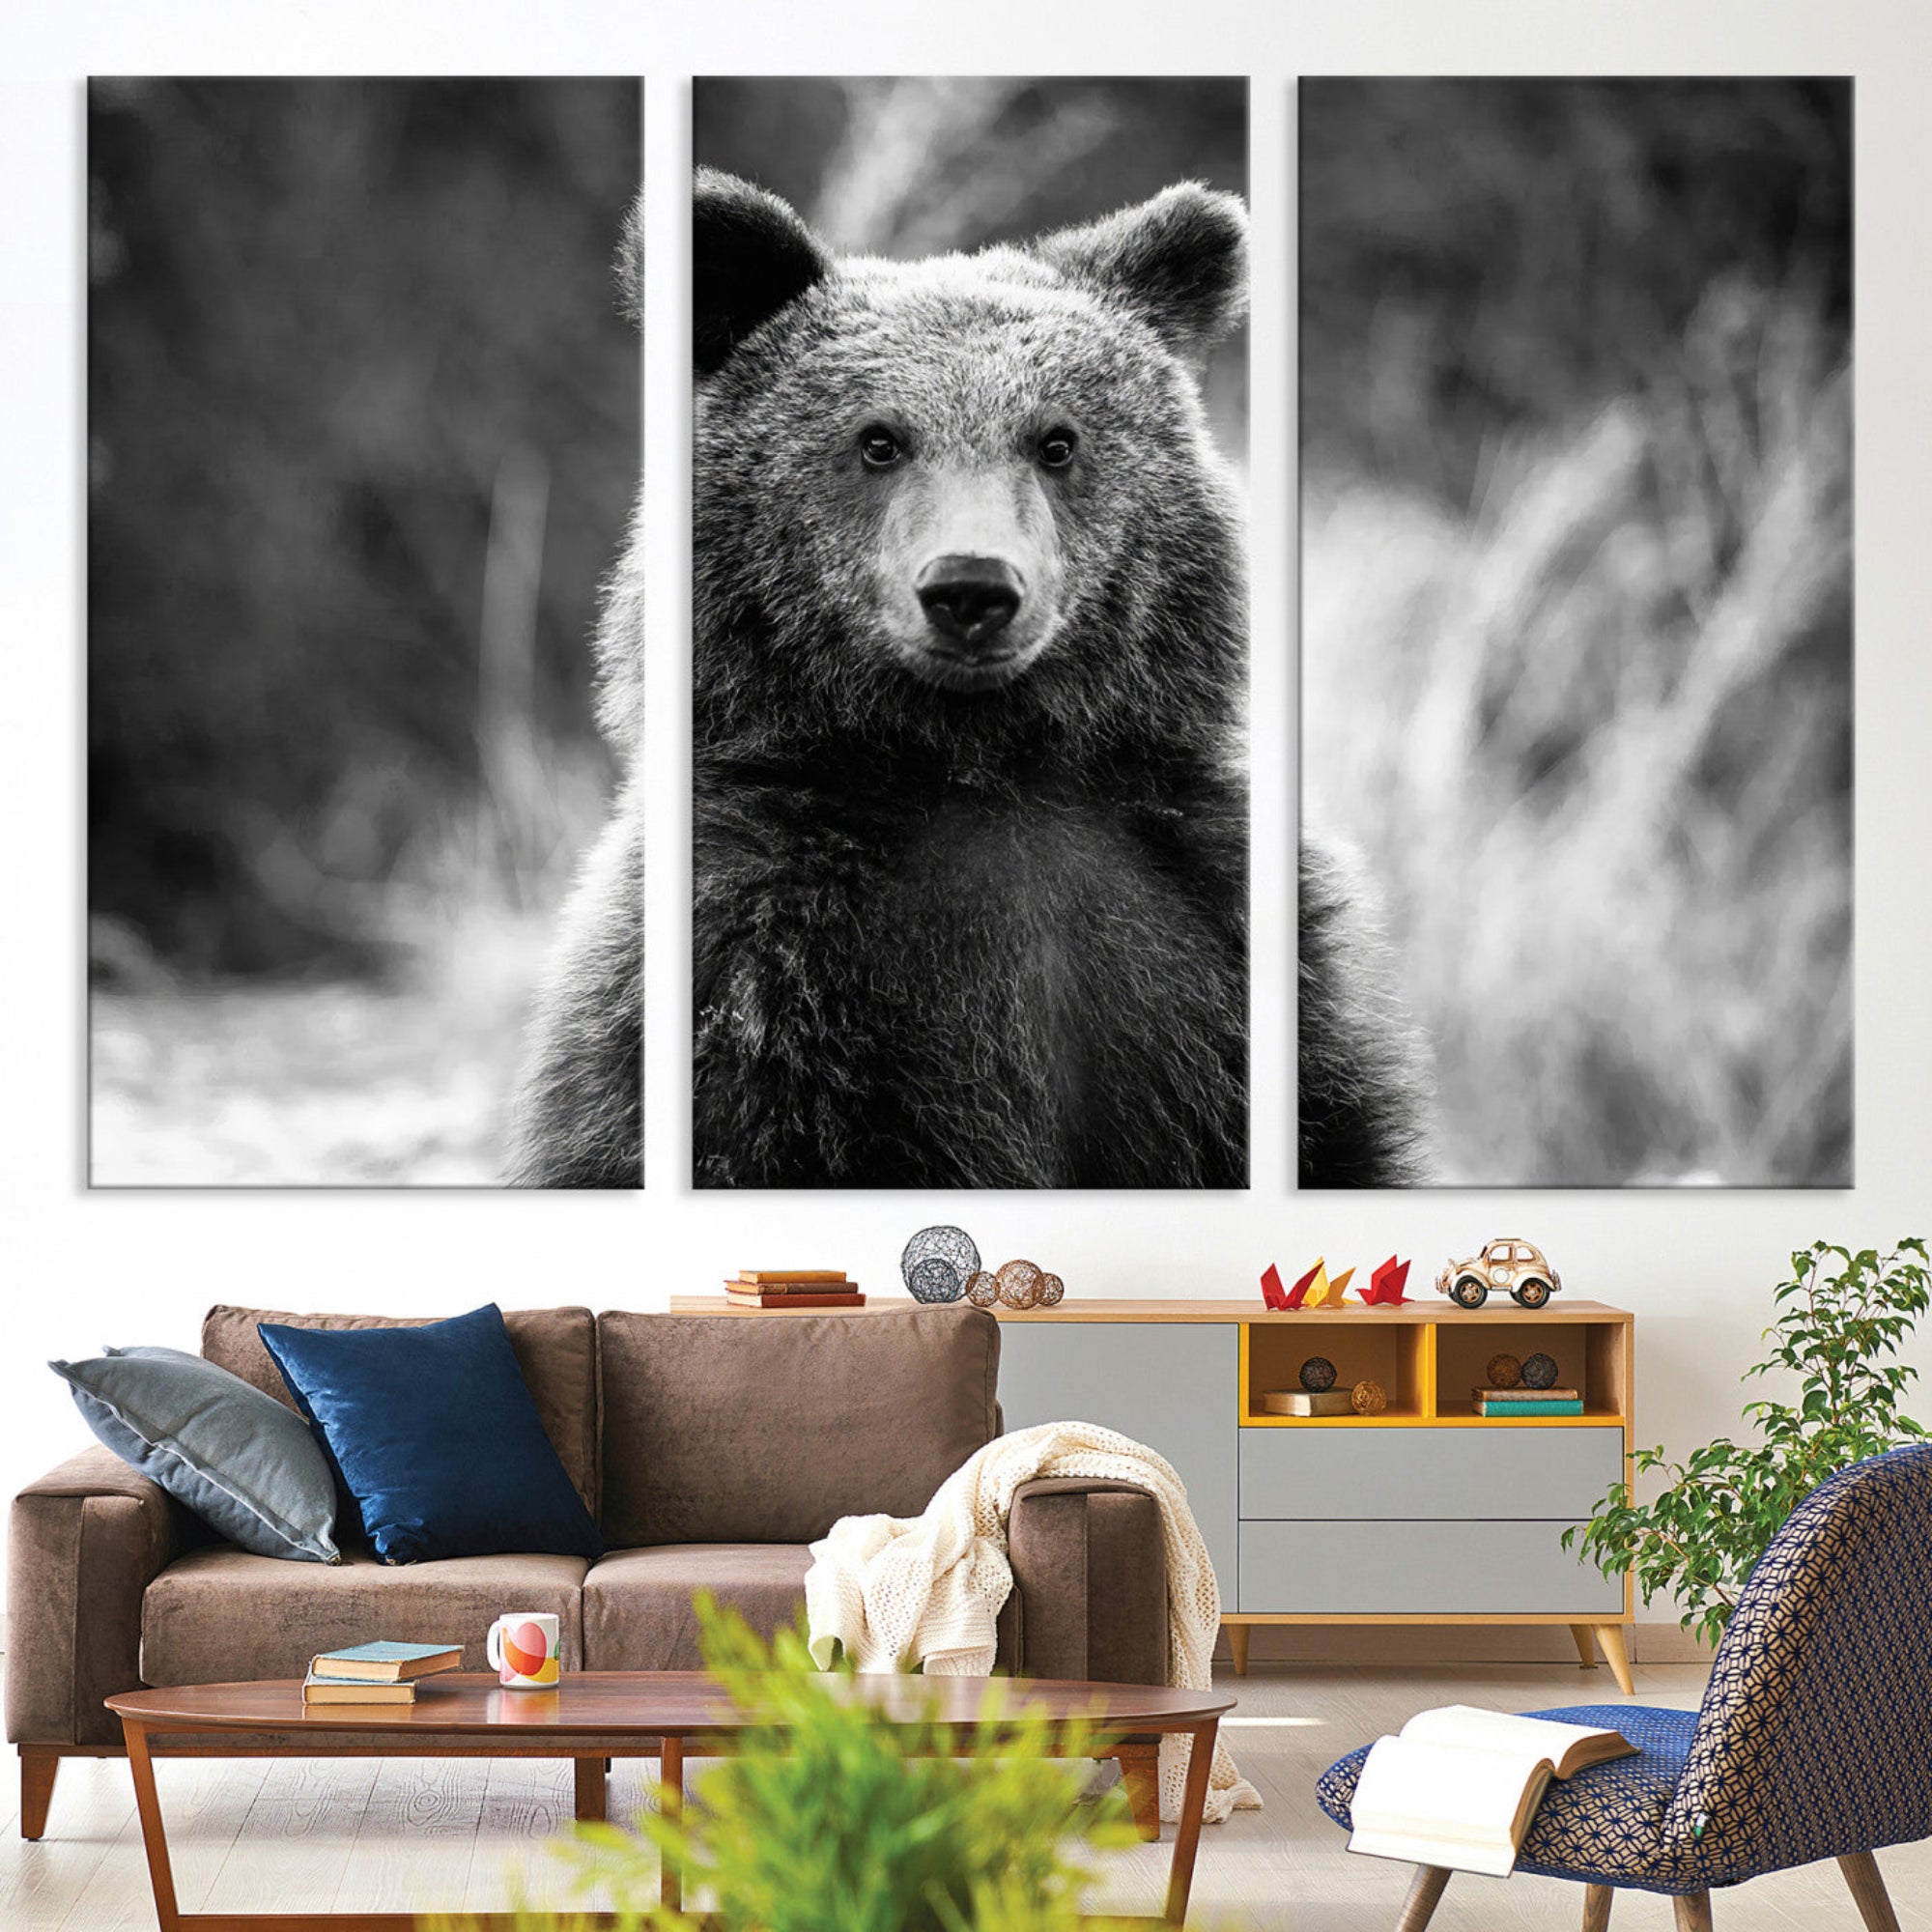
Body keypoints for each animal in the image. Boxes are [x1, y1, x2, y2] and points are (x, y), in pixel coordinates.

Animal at [690, 170, 1251, 1188]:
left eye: (1057, 441)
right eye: (878, 440)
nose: (971, 588)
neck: (981, 767)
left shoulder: (1204, 917)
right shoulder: (761, 963)